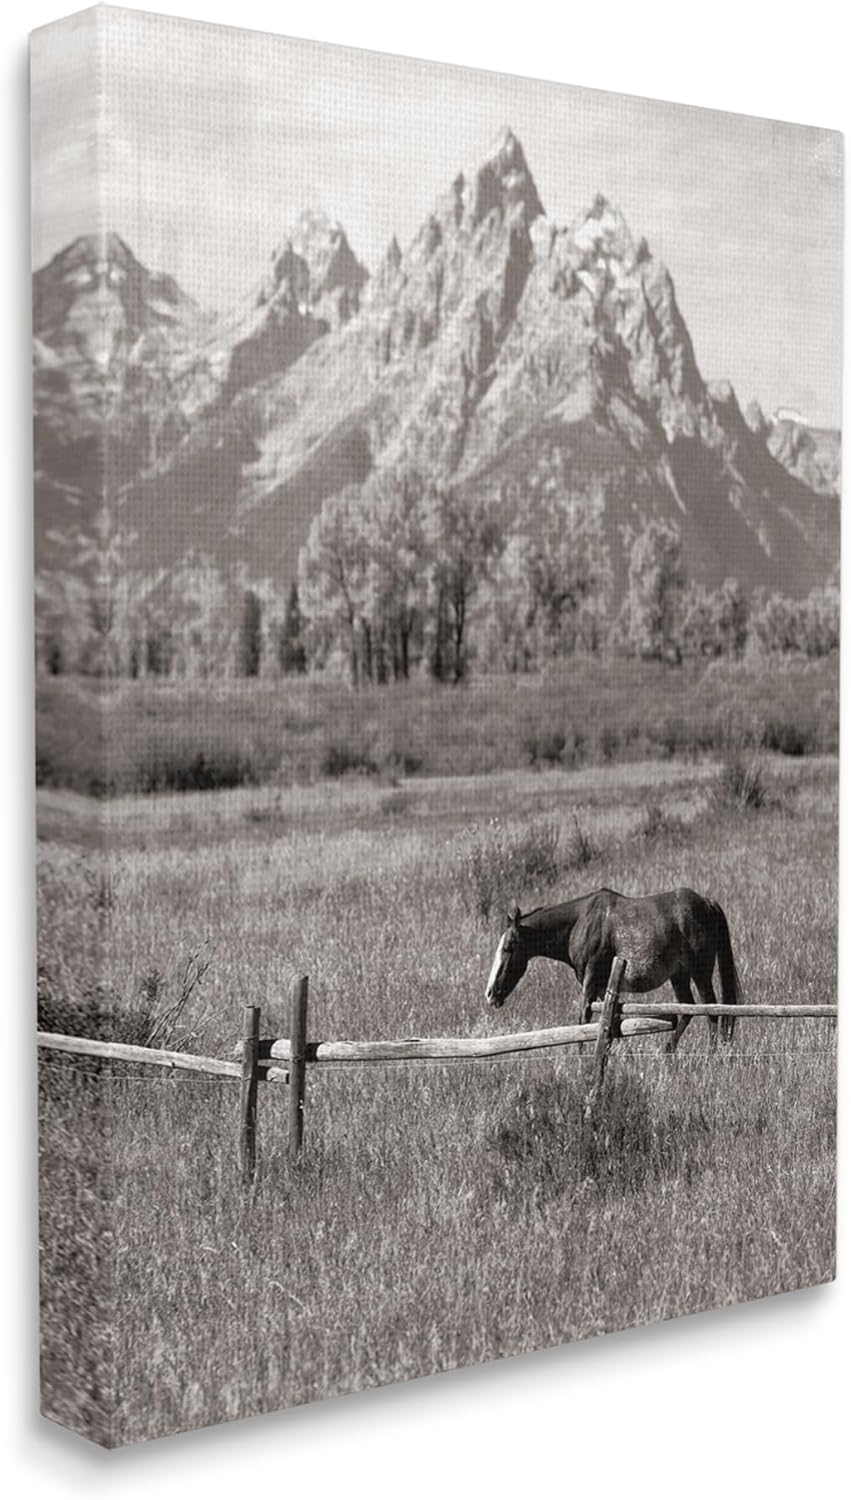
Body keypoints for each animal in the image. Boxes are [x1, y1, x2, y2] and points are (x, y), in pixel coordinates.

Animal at [485, 886, 740, 1052]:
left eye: (508, 947)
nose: (490, 993)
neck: (580, 922)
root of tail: (707, 902)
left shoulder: (590, 980)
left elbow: (584, 1019)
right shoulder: (602, 988)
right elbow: (611, 1023)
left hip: (700, 973)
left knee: (711, 1010)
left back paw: (711, 1054)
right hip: (679, 975)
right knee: (687, 1010)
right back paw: (667, 1052)